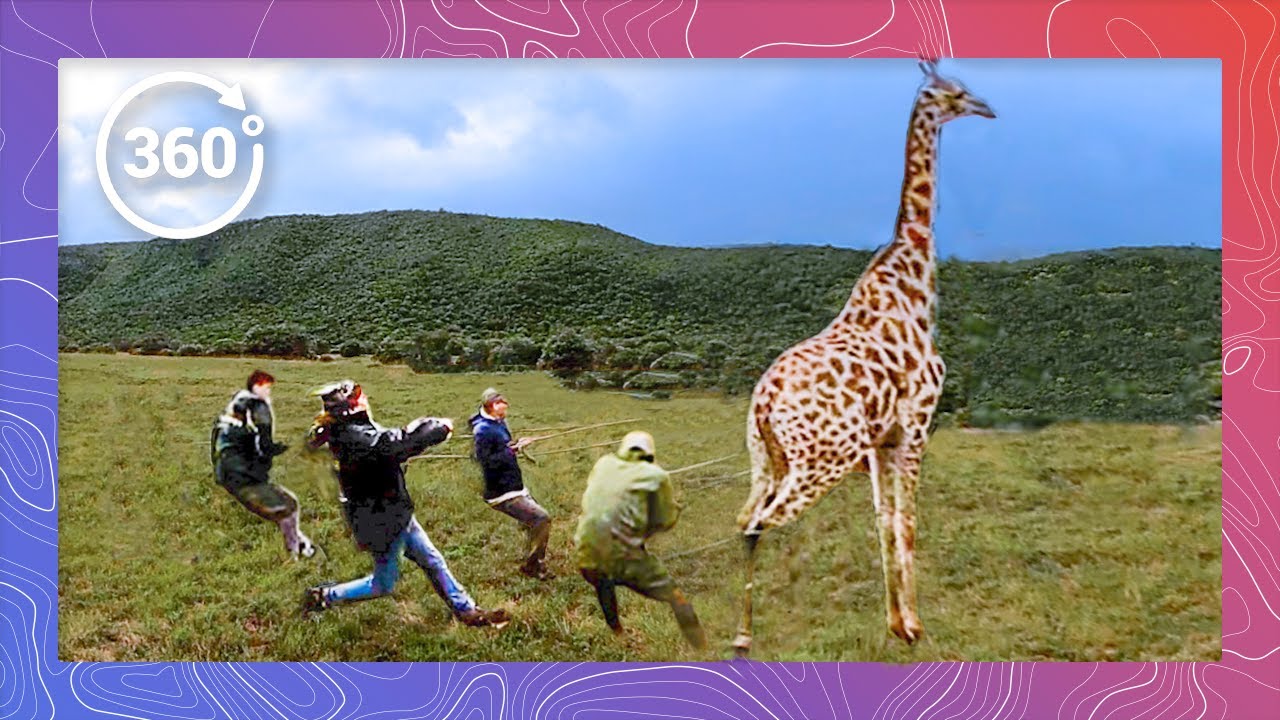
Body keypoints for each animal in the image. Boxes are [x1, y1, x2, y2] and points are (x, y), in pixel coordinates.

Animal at [732, 59, 995, 657]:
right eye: (956, 94)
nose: (989, 109)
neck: (916, 285)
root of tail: (764, 402)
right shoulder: (917, 425)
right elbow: (908, 523)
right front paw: (915, 626)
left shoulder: (881, 442)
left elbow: (882, 520)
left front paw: (895, 624)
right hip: (820, 461)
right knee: (759, 524)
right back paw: (743, 639)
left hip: (767, 459)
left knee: (742, 518)